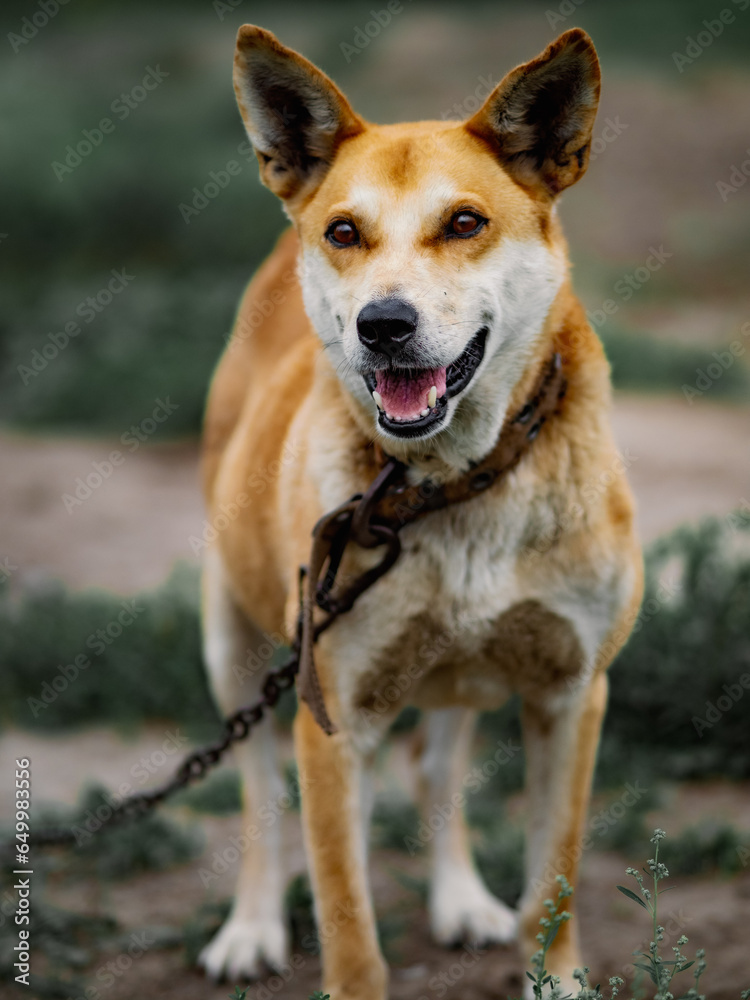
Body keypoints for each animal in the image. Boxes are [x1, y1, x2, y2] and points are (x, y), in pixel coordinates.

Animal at [197, 23, 644, 1000]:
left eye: (465, 222)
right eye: (345, 232)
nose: (384, 325)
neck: (452, 484)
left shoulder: (571, 694)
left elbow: (554, 879)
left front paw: (551, 973)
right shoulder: (331, 722)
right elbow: (348, 917)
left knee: (435, 766)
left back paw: (461, 898)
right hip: (234, 643)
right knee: (263, 794)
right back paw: (250, 929)